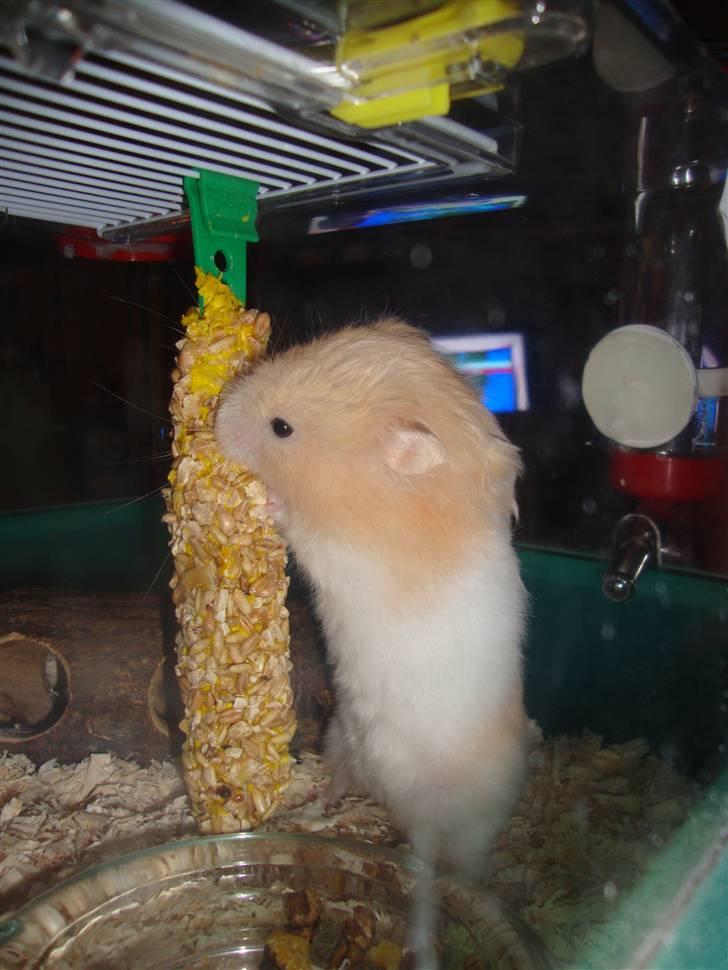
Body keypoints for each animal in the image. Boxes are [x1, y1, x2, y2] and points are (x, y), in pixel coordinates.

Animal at [216, 319, 527, 878]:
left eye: (281, 428)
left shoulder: (345, 552)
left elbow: (297, 527)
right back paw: (318, 808)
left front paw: (269, 501)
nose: (218, 416)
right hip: (340, 739)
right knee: (342, 782)